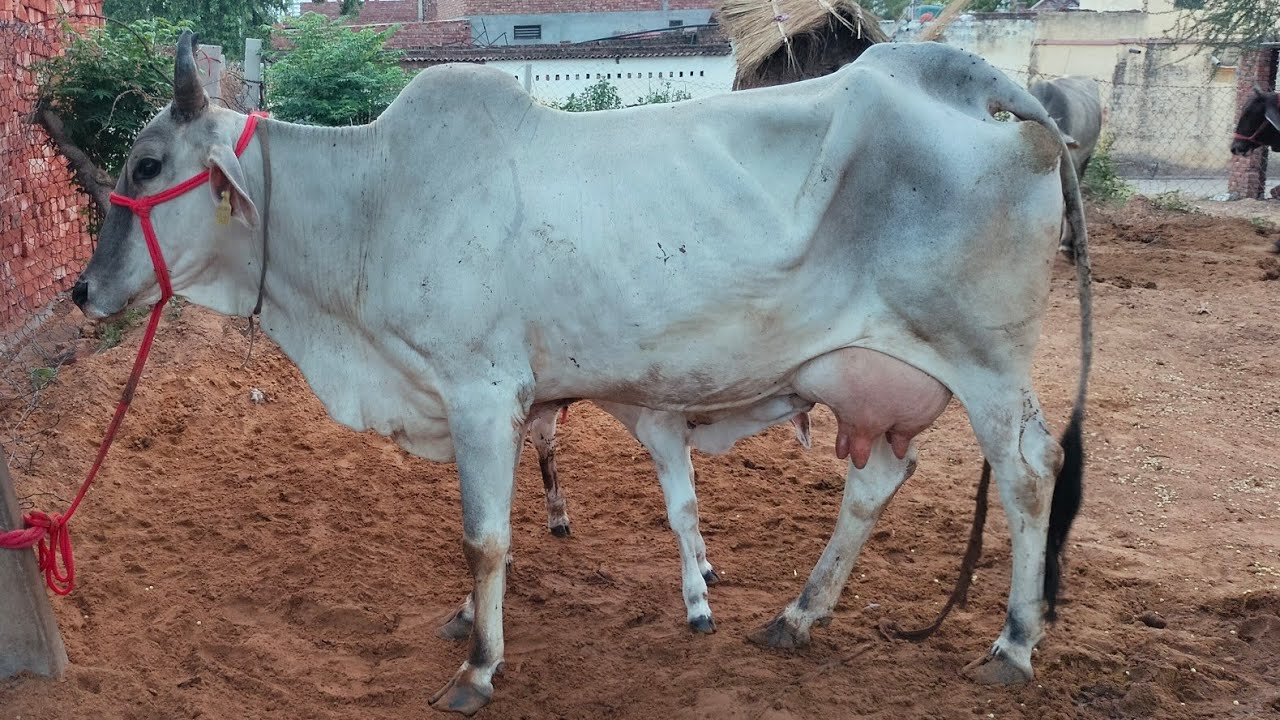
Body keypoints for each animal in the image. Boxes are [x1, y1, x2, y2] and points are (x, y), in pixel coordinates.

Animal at [72, 32, 1092, 715]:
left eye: (148, 162)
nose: (83, 288)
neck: (369, 203)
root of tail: (972, 84)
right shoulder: (502, 402)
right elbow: (504, 523)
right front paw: (469, 624)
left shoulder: (480, 391)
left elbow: (484, 537)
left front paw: (479, 668)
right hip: (871, 375)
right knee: (879, 479)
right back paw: (799, 615)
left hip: (987, 361)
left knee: (1028, 473)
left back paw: (1013, 643)